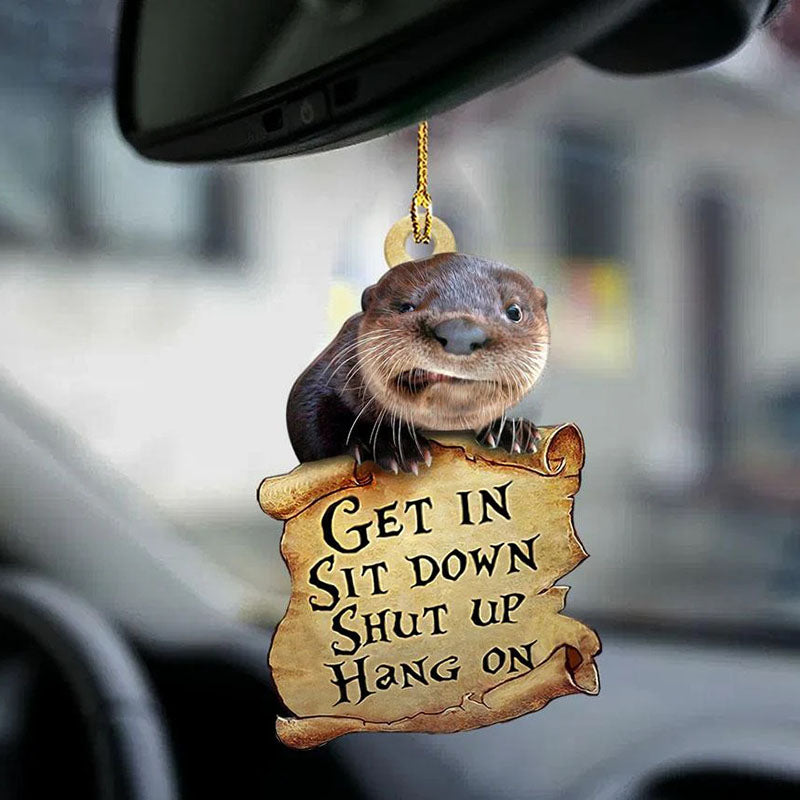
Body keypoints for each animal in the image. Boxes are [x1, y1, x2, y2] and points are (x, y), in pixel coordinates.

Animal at [287, 252, 549, 473]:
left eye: (514, 311)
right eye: (406, 306)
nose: (460, 332)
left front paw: (510, 430)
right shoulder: (328, 370)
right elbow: (308, 416)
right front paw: (391, 445)